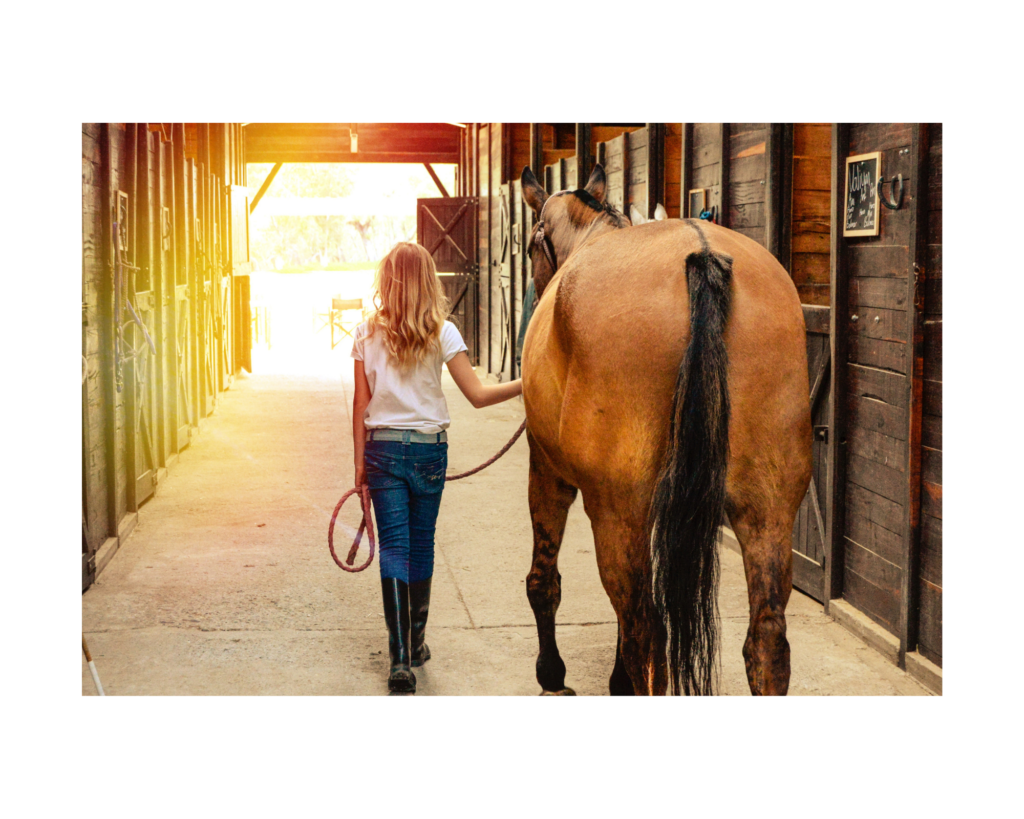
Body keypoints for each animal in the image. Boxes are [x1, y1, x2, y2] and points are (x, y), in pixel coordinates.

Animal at [524, 162, 811, 696]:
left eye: (533, 243)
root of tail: (701, 255)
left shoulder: (547, 471)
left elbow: (544, 581)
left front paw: (552, 673)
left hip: (617, 512)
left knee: (646, 632)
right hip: (768, 510)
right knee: (766, 641)